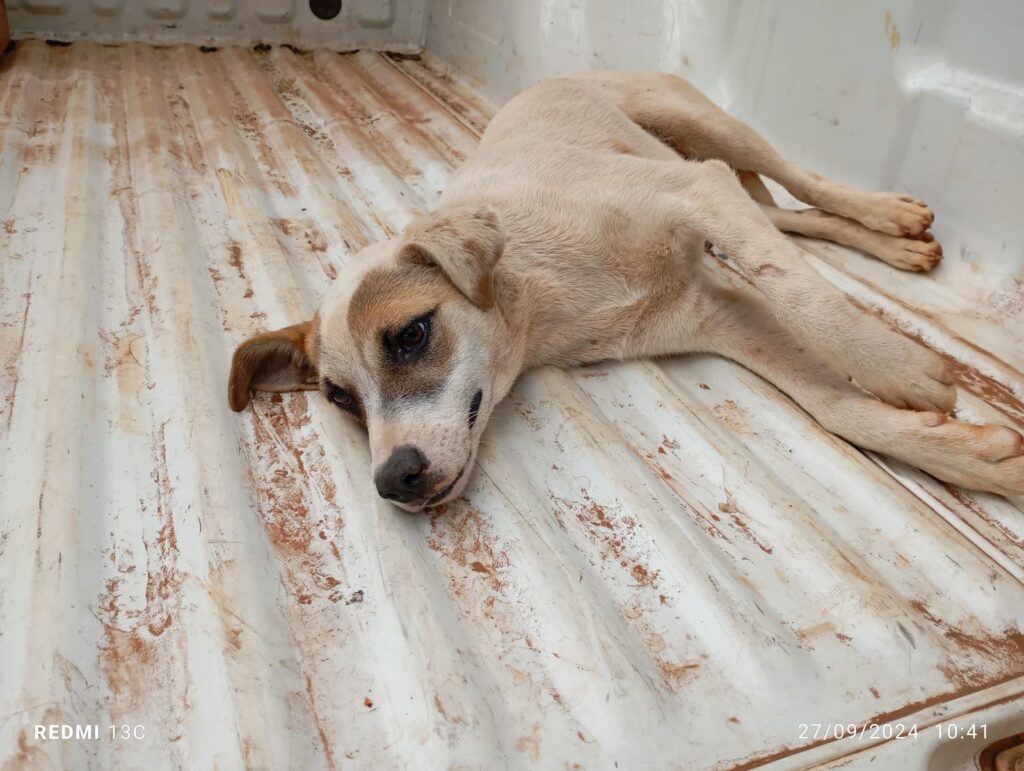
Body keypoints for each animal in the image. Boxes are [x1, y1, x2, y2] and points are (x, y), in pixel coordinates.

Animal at [226, 70, 1024, 505]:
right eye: (339, 398)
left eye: (411, 335)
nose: (395, 480)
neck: (540, 290)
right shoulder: (723, 315)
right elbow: (834, 406)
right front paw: (974, 457)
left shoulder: (701, 195)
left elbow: (806, 295)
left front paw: (902, 370)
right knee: (788, 219)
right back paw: (897, 241)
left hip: (709, 131)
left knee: (803, 185)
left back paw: (889, 213)